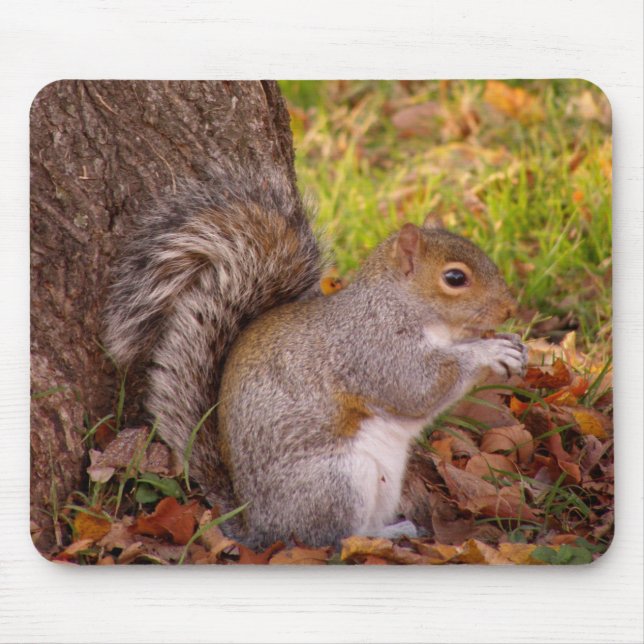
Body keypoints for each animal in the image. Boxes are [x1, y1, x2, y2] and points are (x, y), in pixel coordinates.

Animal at [103, 162, 527, 549]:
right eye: (455, 278)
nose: (511, 309)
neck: (400, 305)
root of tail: (260, 528)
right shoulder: (371, 348)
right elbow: (416, 387)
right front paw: (491, 351)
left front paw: (512, 341)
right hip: (337, 482)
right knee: (332, 537)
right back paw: (383, 537)